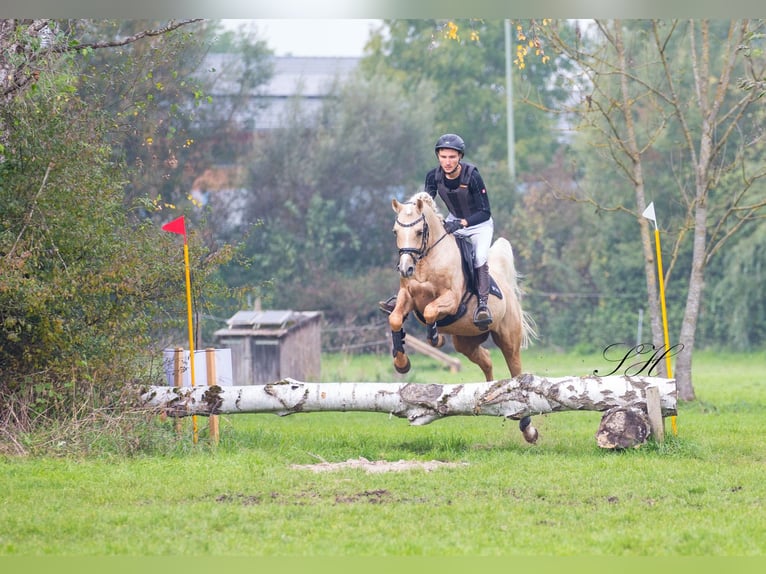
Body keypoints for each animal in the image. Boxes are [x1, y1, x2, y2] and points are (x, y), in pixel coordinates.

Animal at [390, 192, 540, 446]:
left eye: (419, 232)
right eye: (395, 232)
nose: (405, 268)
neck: (427, 260)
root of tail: (506, 287)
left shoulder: (450, 299)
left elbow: (430, 312)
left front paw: (435, 338)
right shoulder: (407, 296)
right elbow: (395, 319)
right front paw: (401, 363)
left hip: (508, 338)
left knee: (516, 372)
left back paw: (528, 428)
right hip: (465, 341)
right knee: (486, 359)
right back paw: (488, 390)